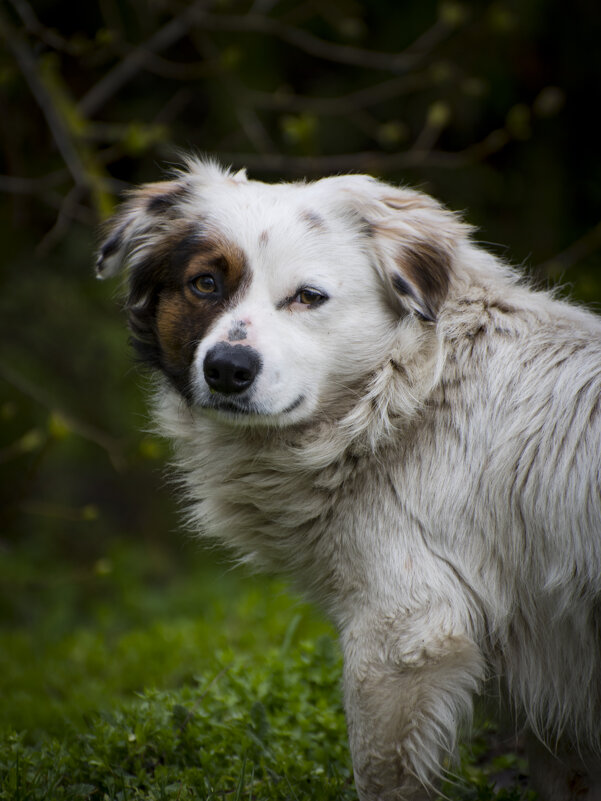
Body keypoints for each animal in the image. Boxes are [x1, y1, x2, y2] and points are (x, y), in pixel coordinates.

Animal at [97, 156, 600, 800]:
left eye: (309, 297)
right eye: (205, 284)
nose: (228, 369)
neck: (406, 397)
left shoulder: (404, 634)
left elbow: (380, 774)